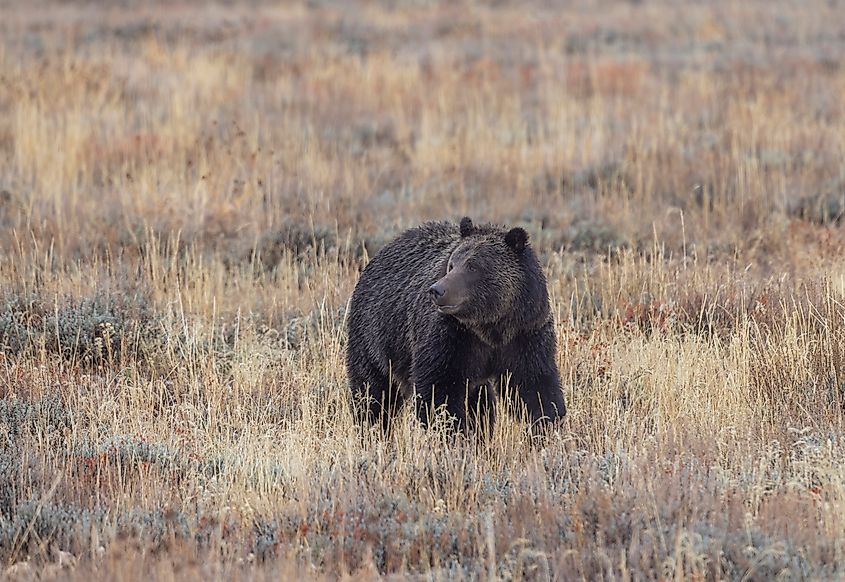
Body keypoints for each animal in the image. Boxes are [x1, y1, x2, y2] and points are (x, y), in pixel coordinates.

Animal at [346, 216, 566, 436]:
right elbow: (439, 391)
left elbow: (535, 386)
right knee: (373, 392)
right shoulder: (450, 337)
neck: (490, 327)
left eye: (473, 266)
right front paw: (452, 432)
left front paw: (547, 426)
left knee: (481, 403)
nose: (437, 290)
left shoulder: (526, 333)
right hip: (375, 338)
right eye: (452, 264)